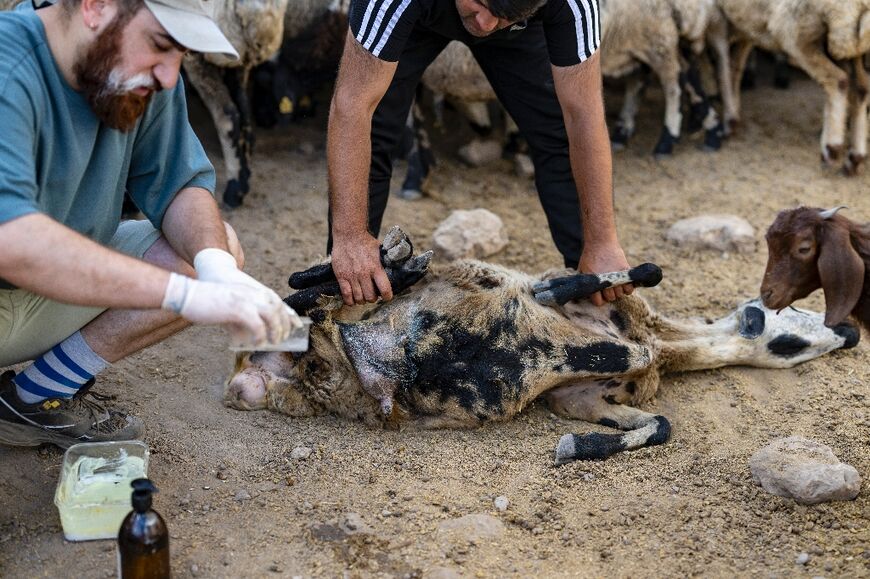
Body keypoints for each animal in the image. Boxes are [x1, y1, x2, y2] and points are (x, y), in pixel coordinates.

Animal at [225, 229, 860, 464]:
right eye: (798, 323)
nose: (850, 332)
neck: (665, 344)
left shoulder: (581, 396)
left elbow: (657, 424)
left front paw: (577, 445)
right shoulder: (581, 318)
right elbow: (626, 277)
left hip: (323, 364)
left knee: (317, 315)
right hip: (358, 311)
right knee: (314, 292)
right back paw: (398, 257)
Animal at [720, 0, 870, 174]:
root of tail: (862, 6)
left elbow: (724, 66)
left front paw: (727, 119)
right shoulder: (744, 27)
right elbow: (733, 66)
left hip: (796, 29)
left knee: (838, 80)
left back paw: (832, 148)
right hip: (847, 46)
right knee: (860, 88)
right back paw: (855, 157)